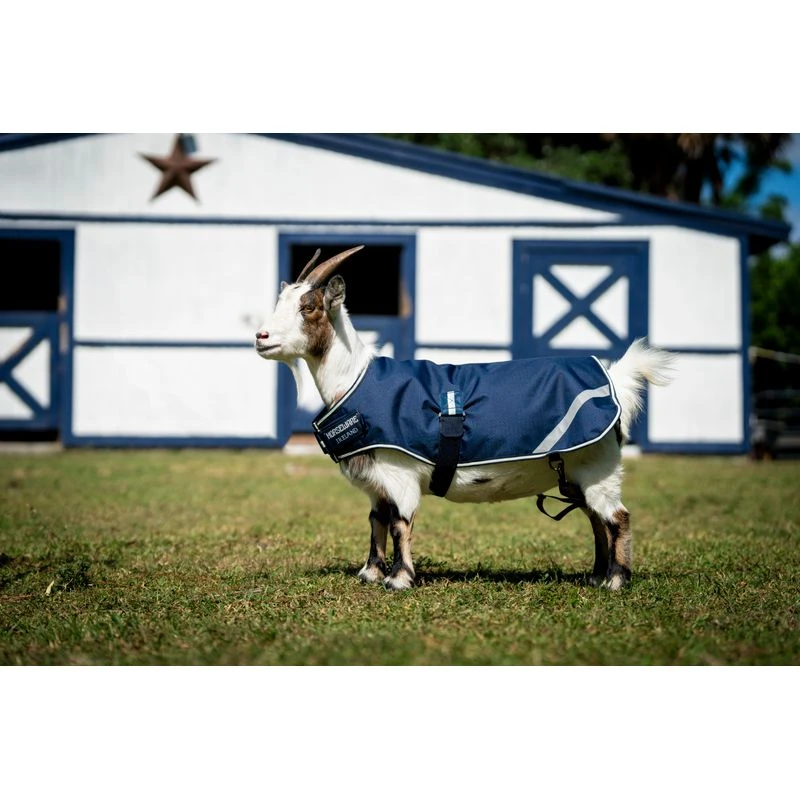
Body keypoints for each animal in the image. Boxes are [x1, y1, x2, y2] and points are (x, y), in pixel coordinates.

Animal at [256, 245, 675, 590]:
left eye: (308, 308)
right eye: (280, 302)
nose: (261, 337)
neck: (354, 381)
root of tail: (615, 379)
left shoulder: (399, 474)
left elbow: (399, 523)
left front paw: (399, 579)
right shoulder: (377, 482)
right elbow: (376, 520)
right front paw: (370, 573)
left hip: (599, 467)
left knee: (616, 517)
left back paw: (616, 581)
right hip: (579, 473)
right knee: (595, 519)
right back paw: (595, 576)